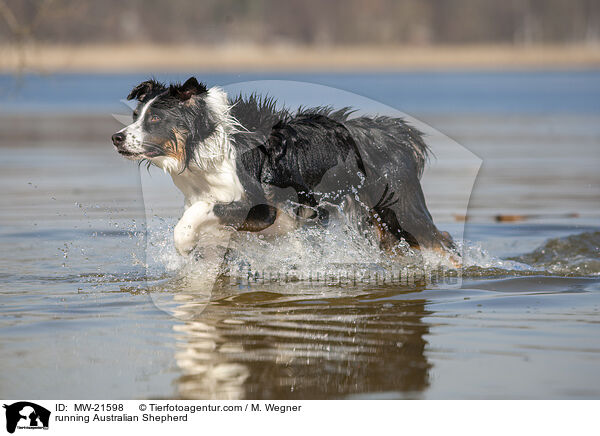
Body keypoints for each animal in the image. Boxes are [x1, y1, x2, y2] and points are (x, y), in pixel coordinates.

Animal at [111, 77, 454, 262]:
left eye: (156, 119)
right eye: (136, 115)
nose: (117, 138)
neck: (207, 145)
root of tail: (399, 133)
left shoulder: (262, 208)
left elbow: (200, 214)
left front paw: (183, 243)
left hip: (400, 208)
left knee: (442, 239)